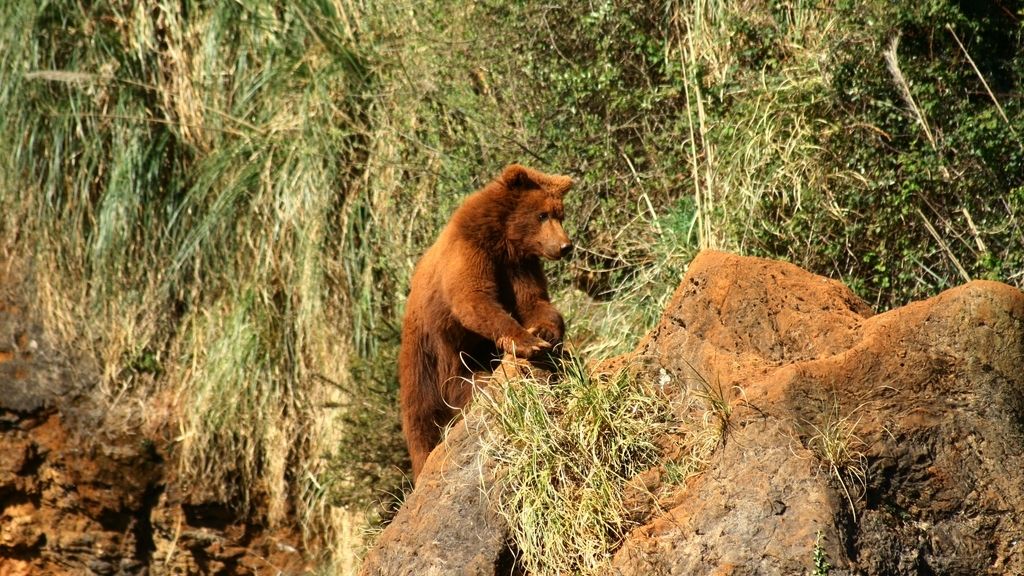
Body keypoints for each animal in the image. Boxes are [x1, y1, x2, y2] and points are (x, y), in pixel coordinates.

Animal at [397, 162, 573, 479]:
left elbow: (534, 302)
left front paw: (546, 332)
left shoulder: (519, 267)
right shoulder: (470, 254)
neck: (502, 240)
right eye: (542, 215)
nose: (566, 246)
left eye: (560, 215)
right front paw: (528, 342)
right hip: (428, 361)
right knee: (424, 417)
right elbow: (473, 300)